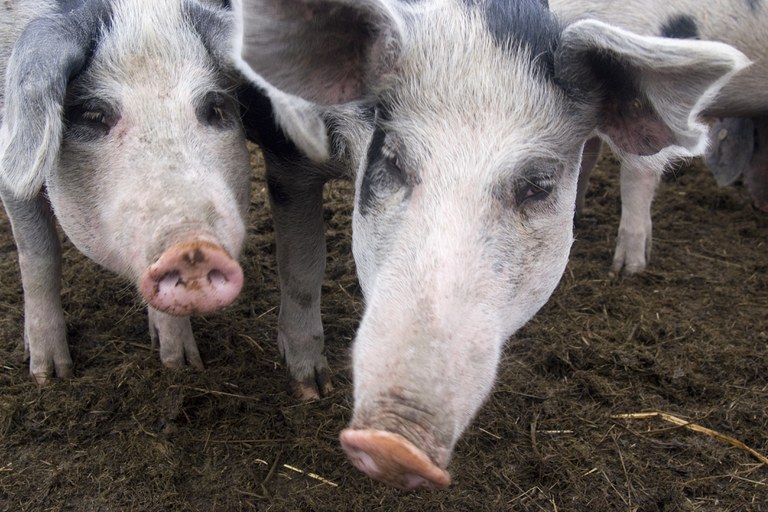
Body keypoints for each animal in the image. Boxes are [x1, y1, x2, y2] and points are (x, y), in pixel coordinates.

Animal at [0, 0, 328, 384]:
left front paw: (181, 365)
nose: (192, 248)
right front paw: (50, 375)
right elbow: (39, 254)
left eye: (214, 108)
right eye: (94, 115)